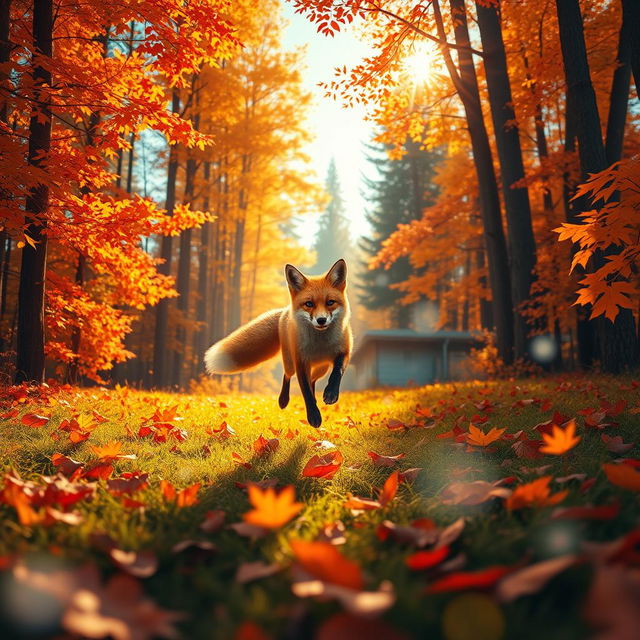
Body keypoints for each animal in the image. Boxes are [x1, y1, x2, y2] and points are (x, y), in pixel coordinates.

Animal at [205, 258, 352, 428]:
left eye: (330, 302)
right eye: (309, 304)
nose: (321, 320)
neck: (321, 344)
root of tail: (285, 311)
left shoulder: (344, 351)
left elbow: (337, 372)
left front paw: (331, 393)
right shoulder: (300, 362)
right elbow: (306, 392)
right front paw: (313, 416)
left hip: (321, 368)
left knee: (313, 380)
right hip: (290, 362)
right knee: (288, 375)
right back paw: (283, 400)